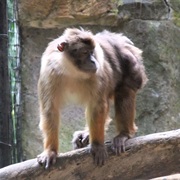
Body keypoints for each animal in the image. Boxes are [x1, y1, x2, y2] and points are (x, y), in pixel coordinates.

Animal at [36, 27, 148, 168]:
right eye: (84, 52)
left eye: (92, 52)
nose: (93, 61)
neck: (71, 71)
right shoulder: (49, 73)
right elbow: (50, 109)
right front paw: (50, 151)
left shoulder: (97, 74)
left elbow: (97, 106)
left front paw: (97, 145)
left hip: (133, 66)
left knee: (125, 89)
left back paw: (124, 134)